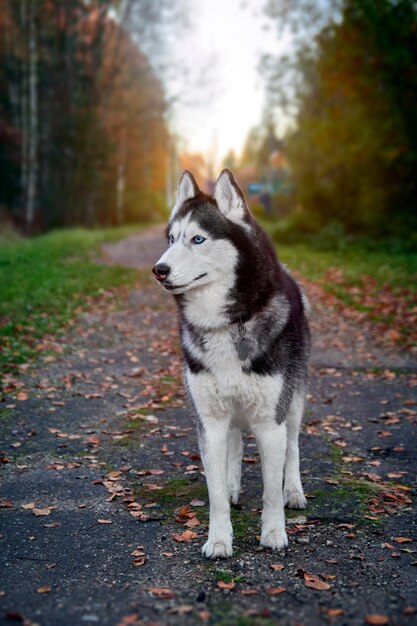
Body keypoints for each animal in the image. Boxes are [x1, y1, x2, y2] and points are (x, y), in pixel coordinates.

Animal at [153, 169, 308, 556]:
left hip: (294, 403)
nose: (159, 269)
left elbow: (270, 490)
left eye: (198, 239)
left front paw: (273, 533)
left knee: (294, 447)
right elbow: (216, 492)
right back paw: (235, 484)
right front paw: (219, 539)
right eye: (172, 238)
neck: (227, 324)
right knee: (236, 441)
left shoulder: (271, 422)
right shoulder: (208, 421)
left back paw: (294, 491)